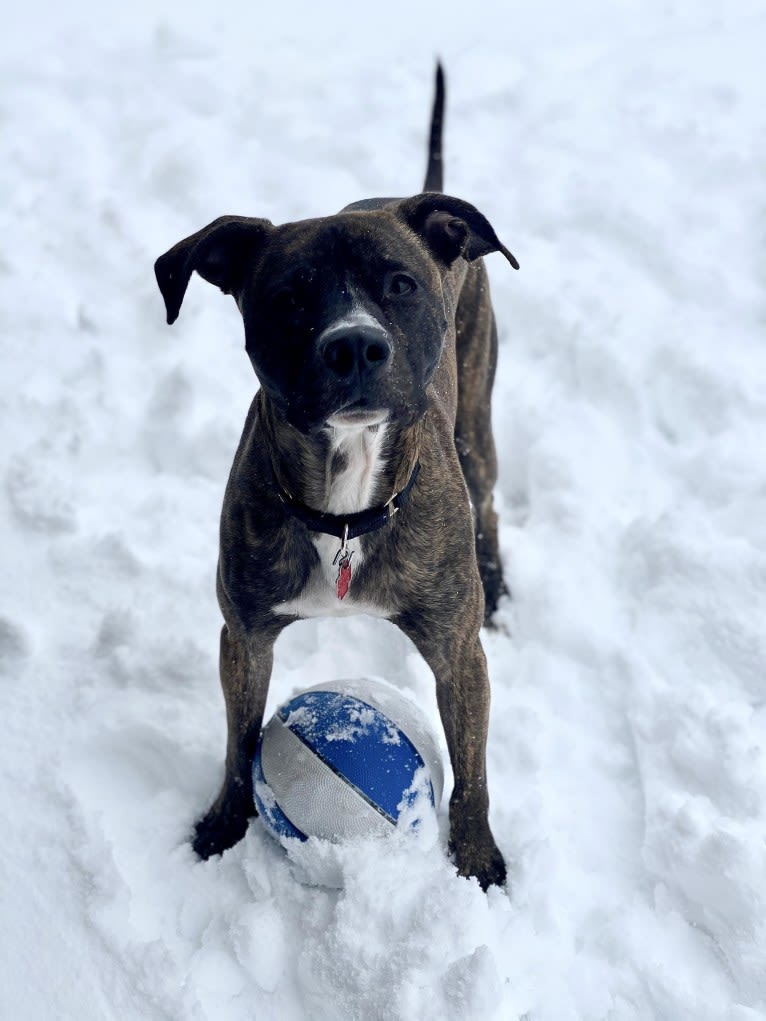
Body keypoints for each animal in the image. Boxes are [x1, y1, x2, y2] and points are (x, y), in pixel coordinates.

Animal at [154, 67, 518, 890]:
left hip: (477, 427)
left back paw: (500, 587)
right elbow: (240, 741)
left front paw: (476, 857)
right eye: (288, 296)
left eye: (401, 284)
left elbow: (473, 771)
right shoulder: (245, 636)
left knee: (490, 505)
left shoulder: (458, 654)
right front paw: (226, 822)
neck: (345, 511)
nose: (354, 345)